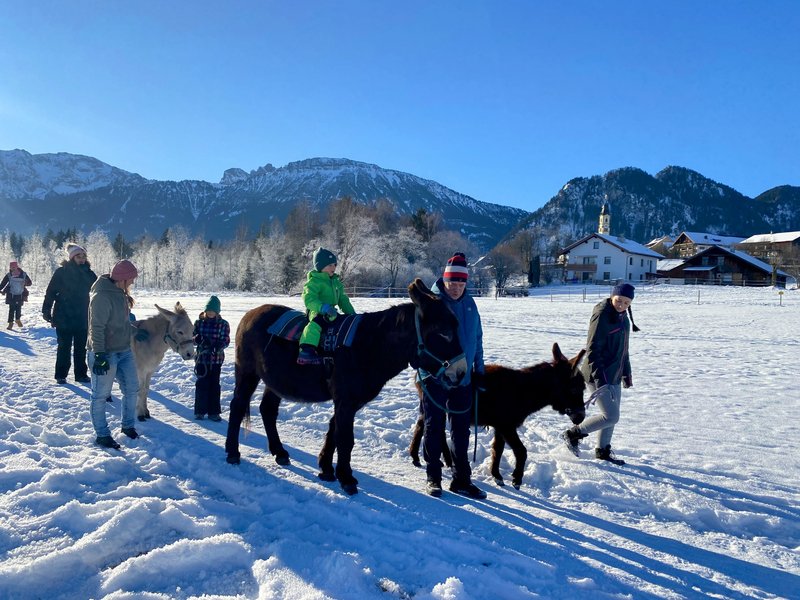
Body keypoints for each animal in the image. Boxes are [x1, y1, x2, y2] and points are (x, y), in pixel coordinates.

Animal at [225, 278, 467, 495]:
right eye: (444, 333)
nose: (461, 372)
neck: (368, 346)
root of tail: (250, 314)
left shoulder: (349, 402)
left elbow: (334, 431)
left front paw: (326, 469)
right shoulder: (346, 400)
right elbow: (345, 438)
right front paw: (346, 478)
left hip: (276, 382)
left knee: (267, 410)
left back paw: (279, 452)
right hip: (247, 373)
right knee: (237, 407)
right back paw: (232, 452)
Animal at [409, 343, 587, 489]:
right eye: (575, 388)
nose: (581, 417)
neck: (524, 391)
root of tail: (419, 374)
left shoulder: (500, 426)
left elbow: (498, 449)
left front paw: (497, 476)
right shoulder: (506, 425)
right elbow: (521, 451)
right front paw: (516, 479)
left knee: (422, 425)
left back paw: (424, 458)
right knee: (428, 428)